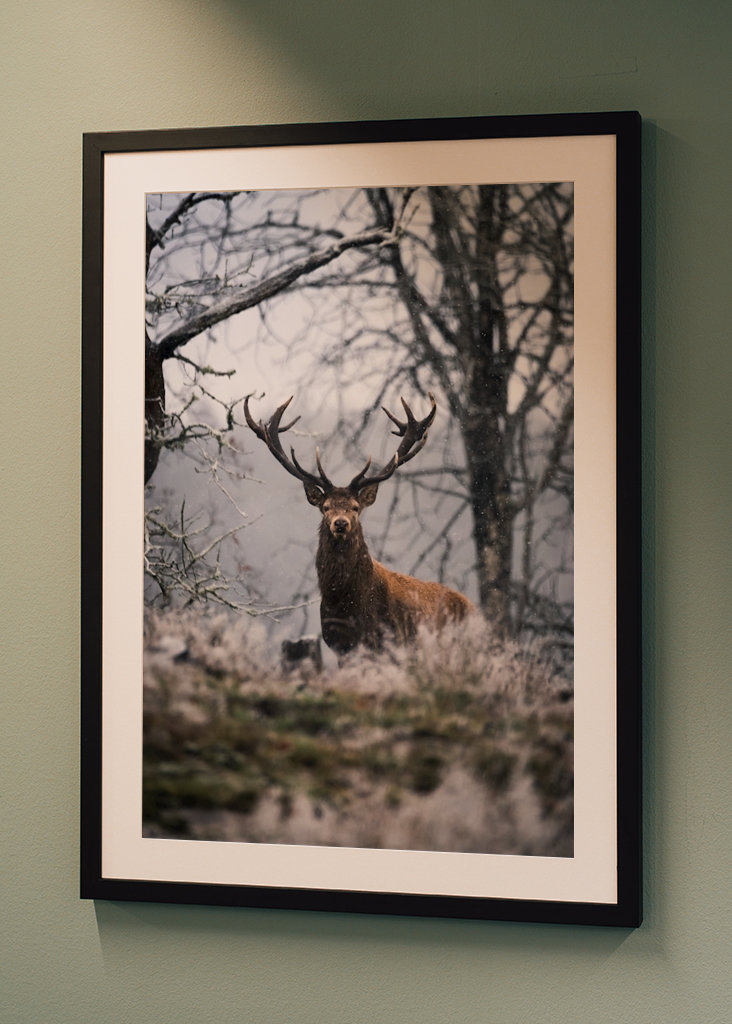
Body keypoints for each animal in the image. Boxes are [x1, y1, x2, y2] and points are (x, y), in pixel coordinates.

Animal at [244, 392, 474, 656]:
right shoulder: (339, 645)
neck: (347, 605)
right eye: (326, 507)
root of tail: (476, 611)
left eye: (355, 507)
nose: (340, 523)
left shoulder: (389, 642)